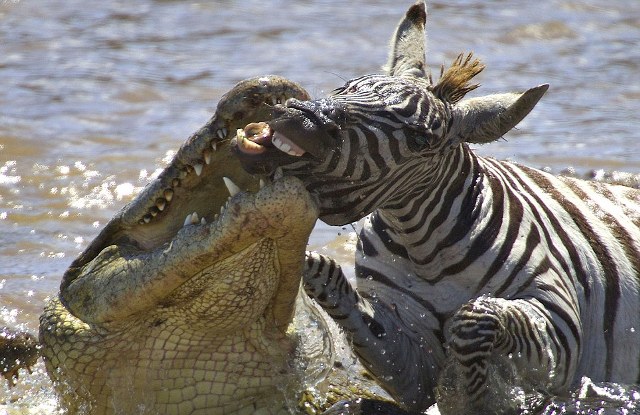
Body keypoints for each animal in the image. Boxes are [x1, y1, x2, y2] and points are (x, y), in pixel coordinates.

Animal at [234, 1, 640, 414]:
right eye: (344, 88)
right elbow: (327, 275)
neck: (424, 250)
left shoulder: (560, 326)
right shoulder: (409, 359)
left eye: (418, 140)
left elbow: (473, 319)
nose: (301, 118)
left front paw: (467, 396)